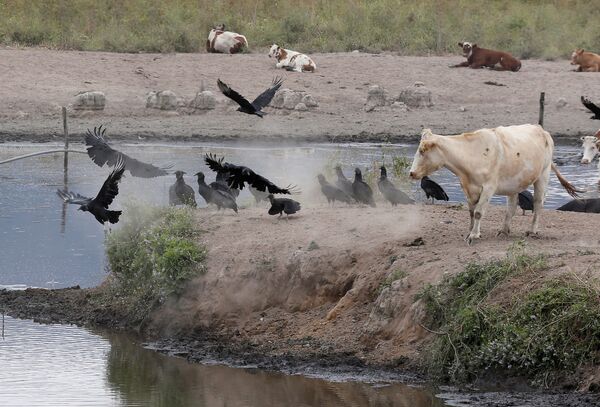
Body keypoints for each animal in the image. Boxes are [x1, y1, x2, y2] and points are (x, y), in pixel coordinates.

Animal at [408, 124, 580, 244]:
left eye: (422, 151)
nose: (411, 173)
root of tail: (542, 130)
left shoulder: (488, 188)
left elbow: (478, 212)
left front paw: (474, 235)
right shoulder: (468, 188)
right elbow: (471, 212)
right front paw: (470, 231)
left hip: (543, 175)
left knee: (538, 204)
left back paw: (532, 231)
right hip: (514, 183)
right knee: (511, 206)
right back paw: (504, 230)